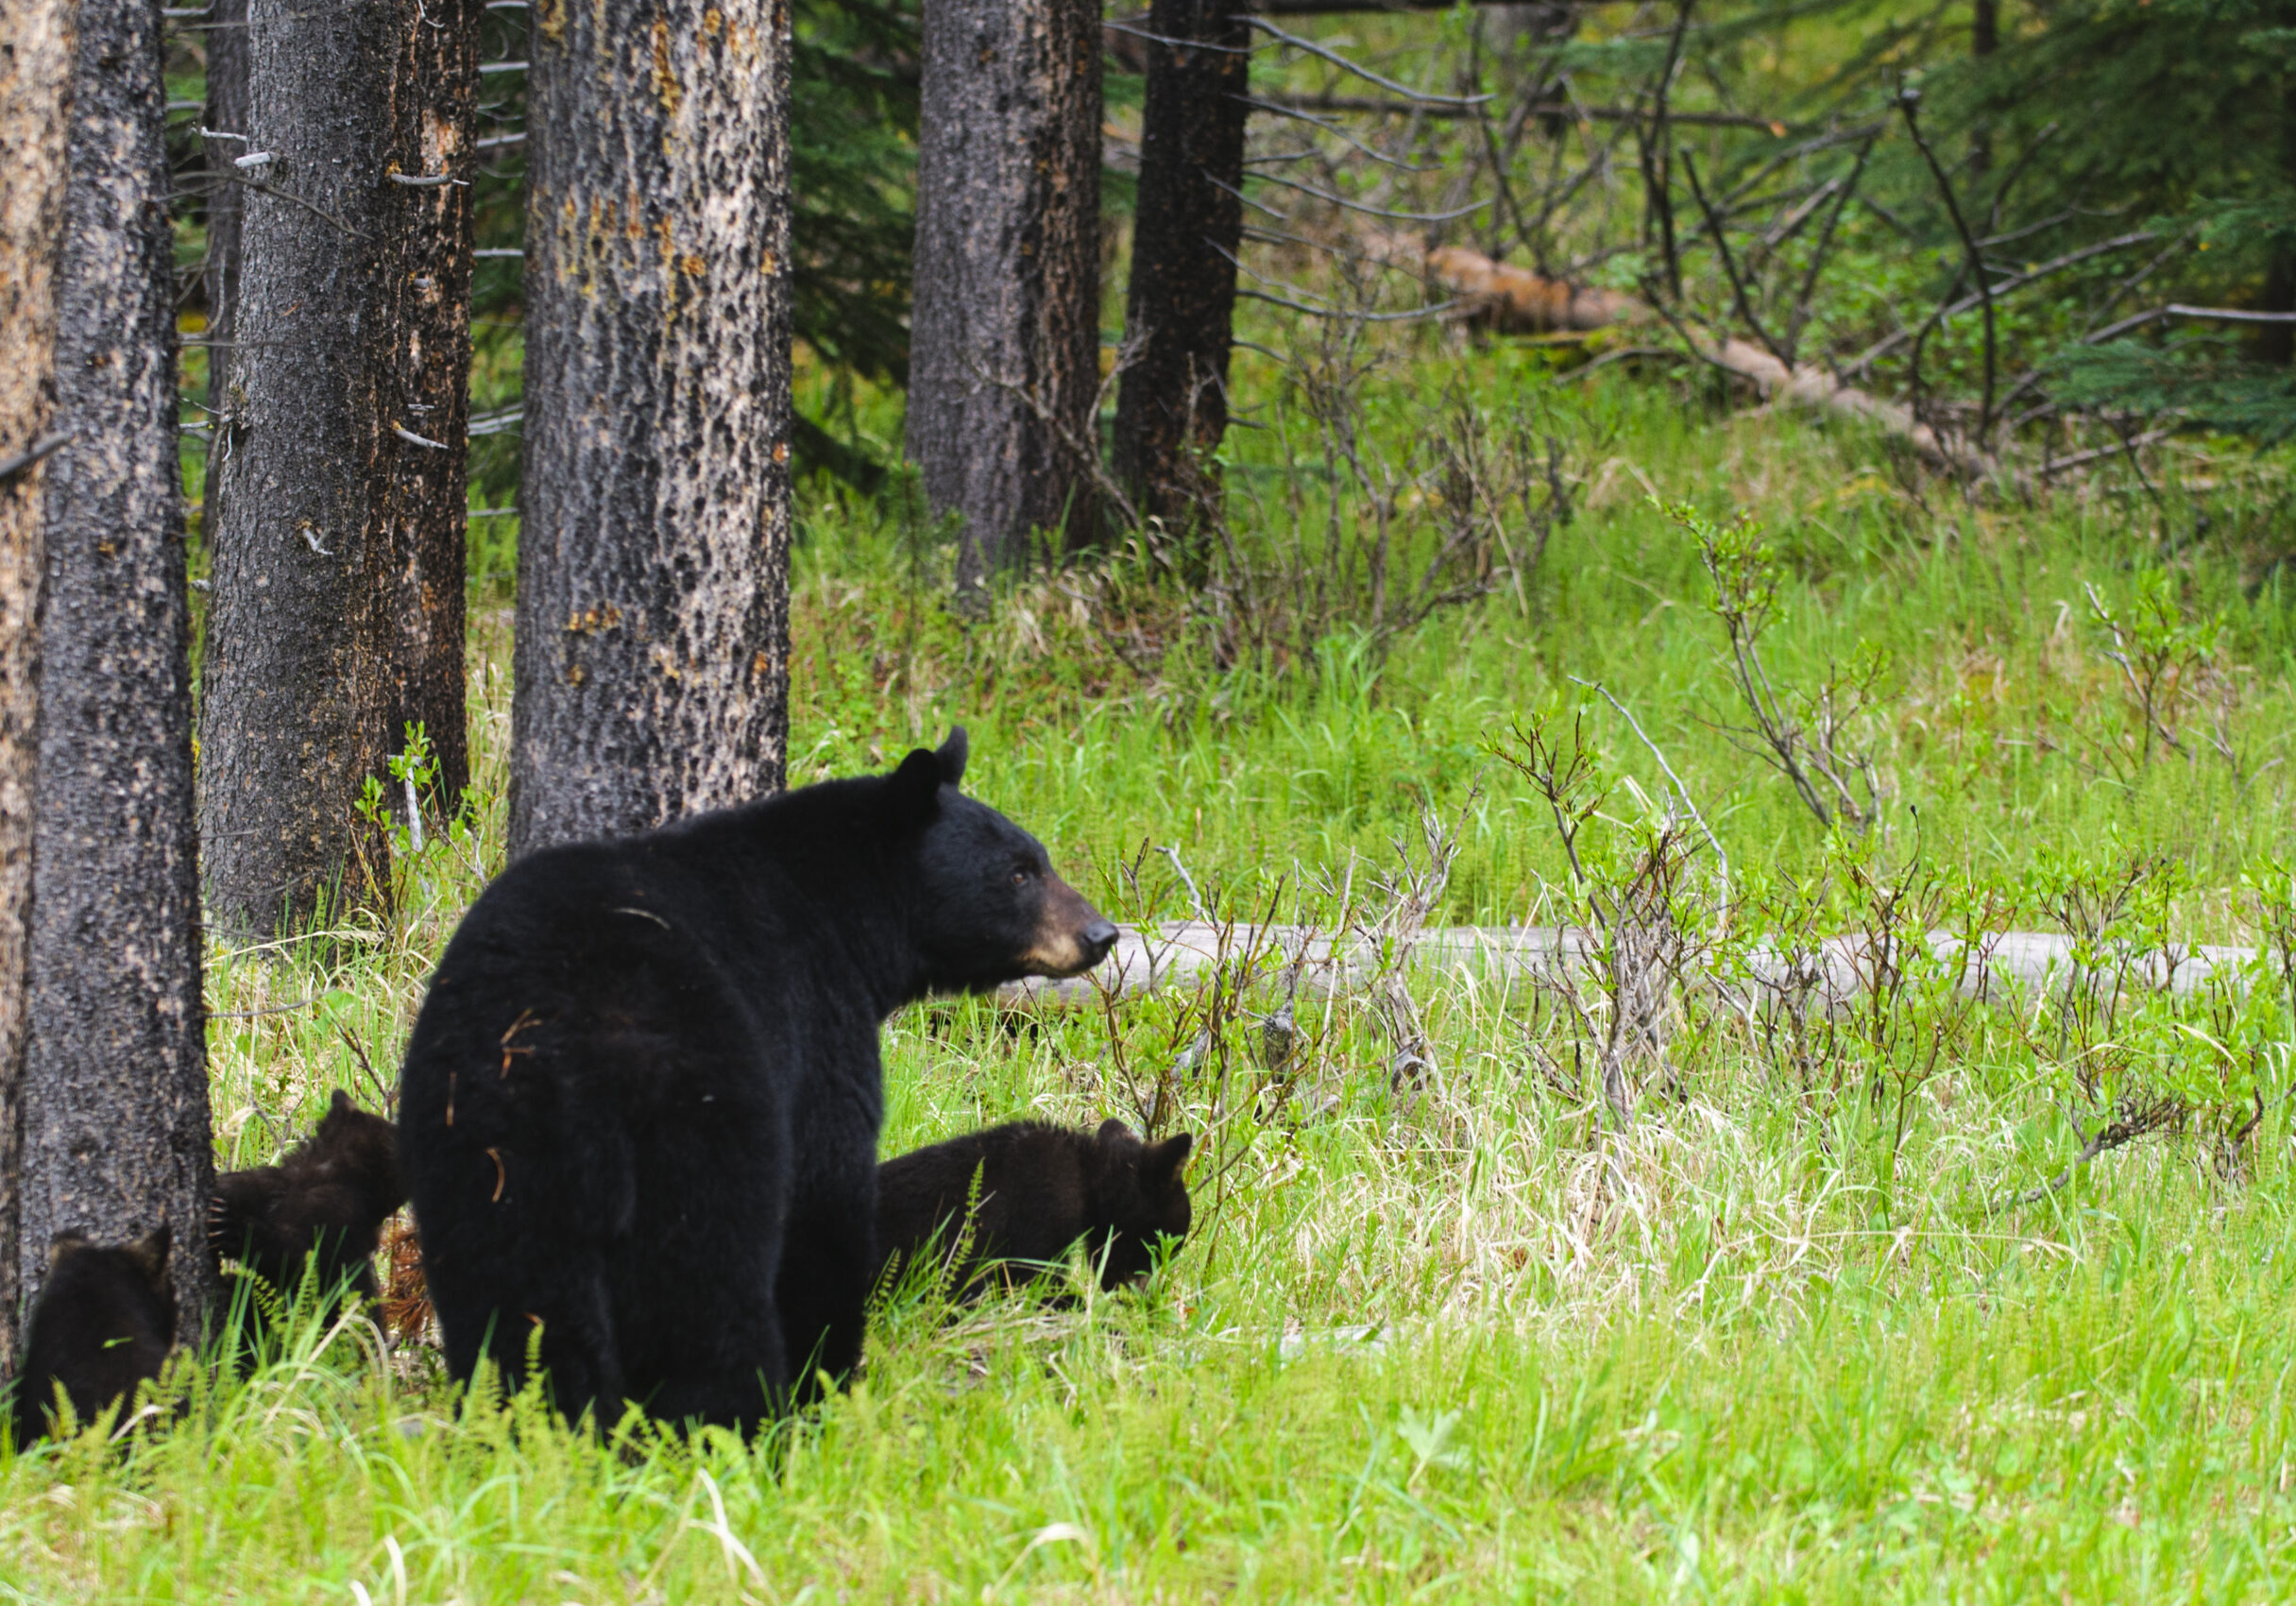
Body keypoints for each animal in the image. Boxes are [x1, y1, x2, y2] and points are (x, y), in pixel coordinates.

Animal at [396, 728, 1117, 1431]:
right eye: (1018, 872)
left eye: (1038, 858)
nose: (1101, 933)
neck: (843, 913)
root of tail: (558, 1052)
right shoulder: (815, 1020)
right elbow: (826, 1193)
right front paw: (826, 1373)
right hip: (696, 1125)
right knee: (707, 1290)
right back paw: (740, 1422)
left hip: (475, 1149)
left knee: (511, 1303)